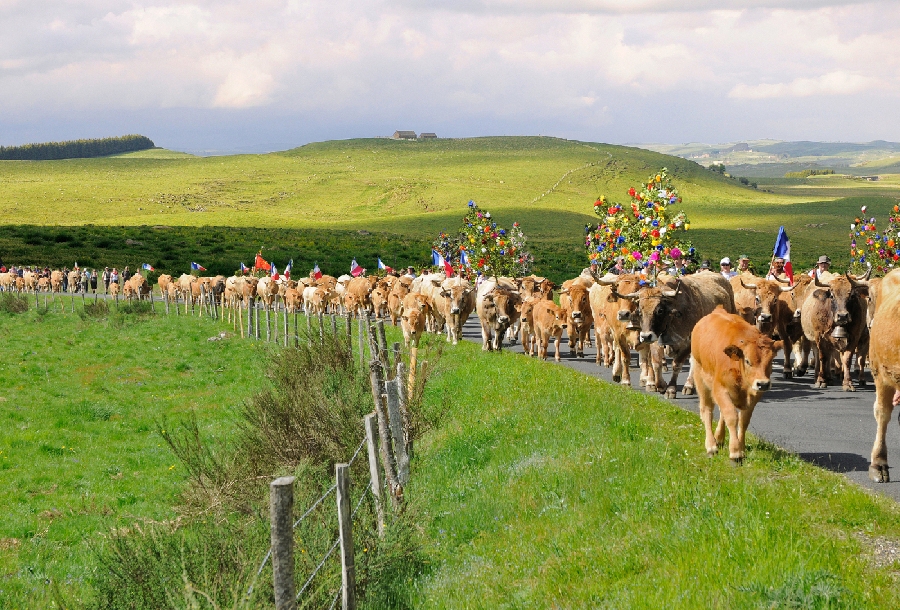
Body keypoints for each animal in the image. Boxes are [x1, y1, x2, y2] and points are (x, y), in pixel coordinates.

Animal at [691, 306, 782, 464]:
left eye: (771, 361)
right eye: (747, 361)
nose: (763, 384)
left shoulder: (755, 395)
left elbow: (743, 420)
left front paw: (742, 448)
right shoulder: (719, 389)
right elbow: (732, 416)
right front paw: (735, 452)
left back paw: (719, 438)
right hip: (700, 379)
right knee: (707, 410)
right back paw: (711, 446)